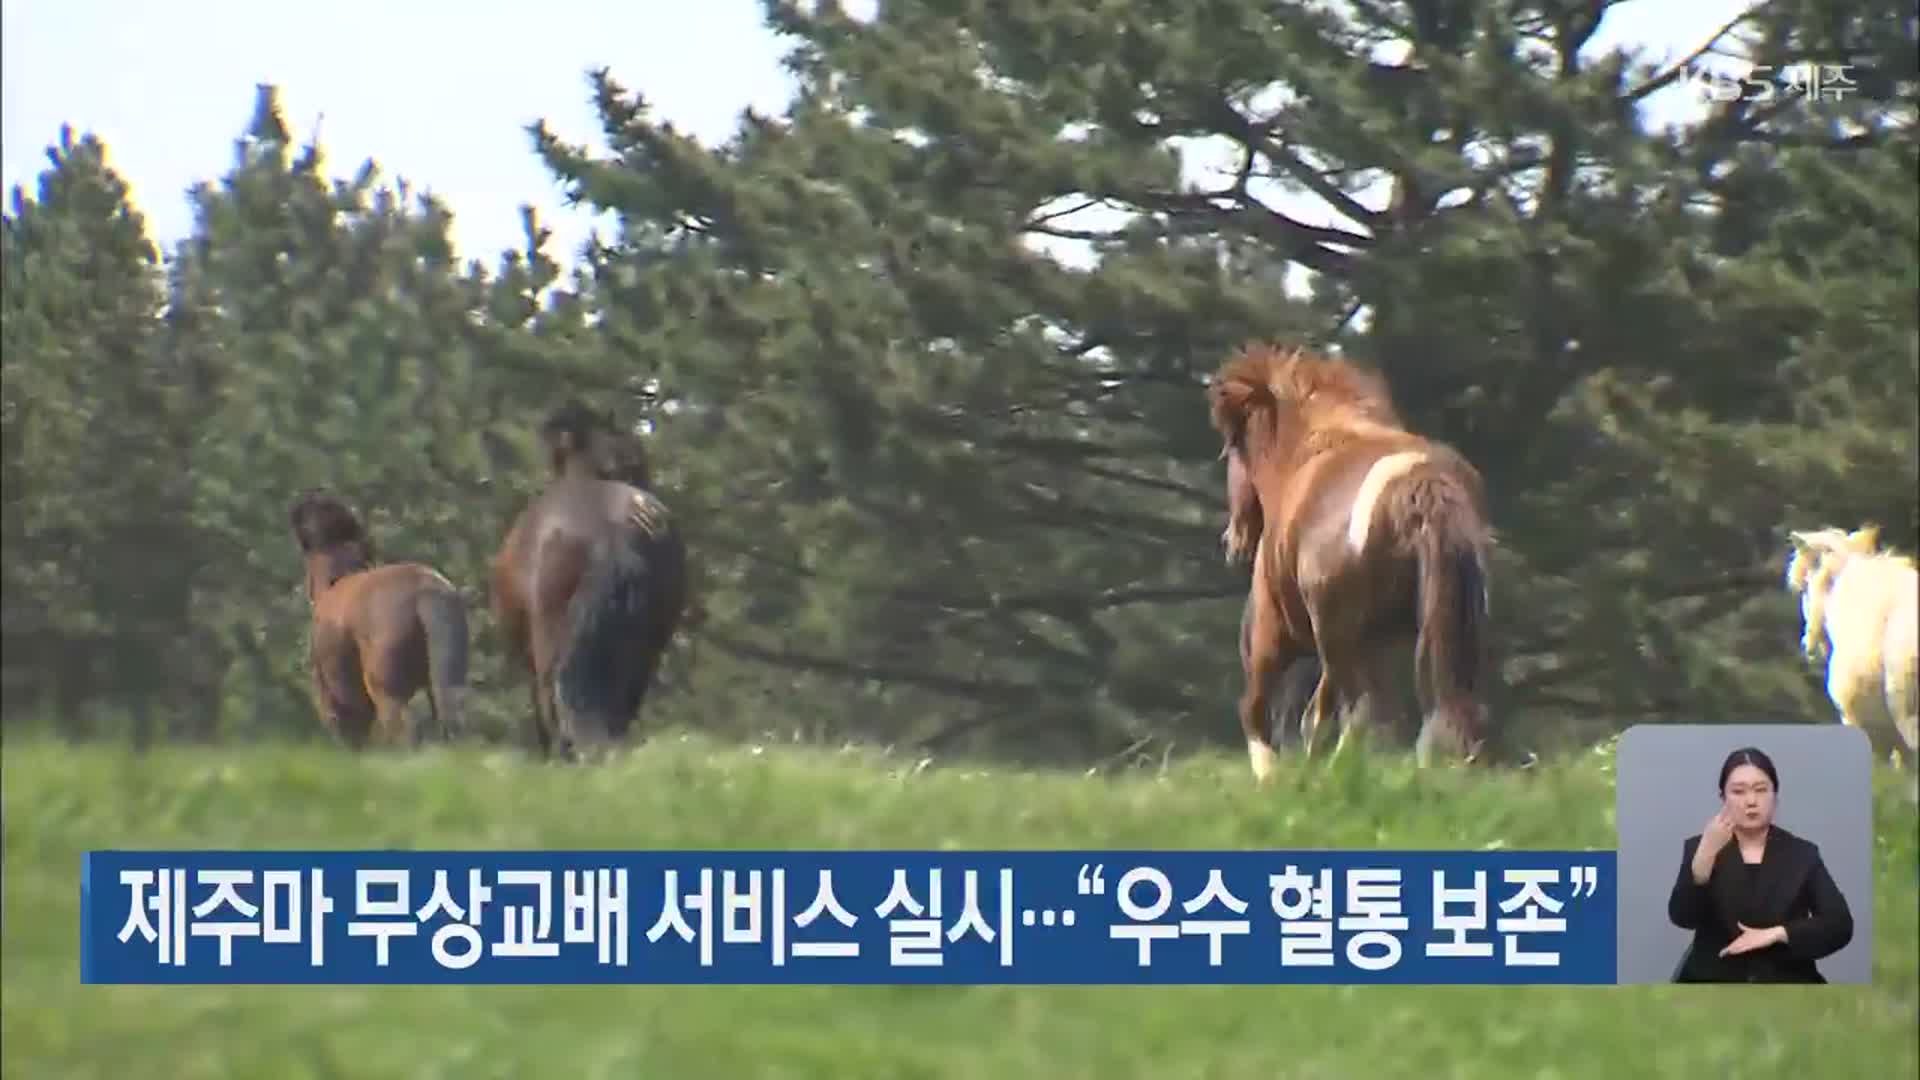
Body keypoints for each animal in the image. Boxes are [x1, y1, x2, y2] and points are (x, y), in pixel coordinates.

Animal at [288, 490, 468, 749]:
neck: (337, 577)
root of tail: (427, 590)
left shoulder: (336, 702)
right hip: (449, 682)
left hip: (386, 689)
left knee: (408, 730)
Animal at [1198, 340, 1497, 776]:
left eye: (1233, 449)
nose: (1233, 543)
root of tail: (1420, 489)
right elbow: (1316, 715)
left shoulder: (1274, 628)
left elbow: (1260, 710)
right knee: (1446, 708)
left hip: (1337, 636)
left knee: (1358, 711)